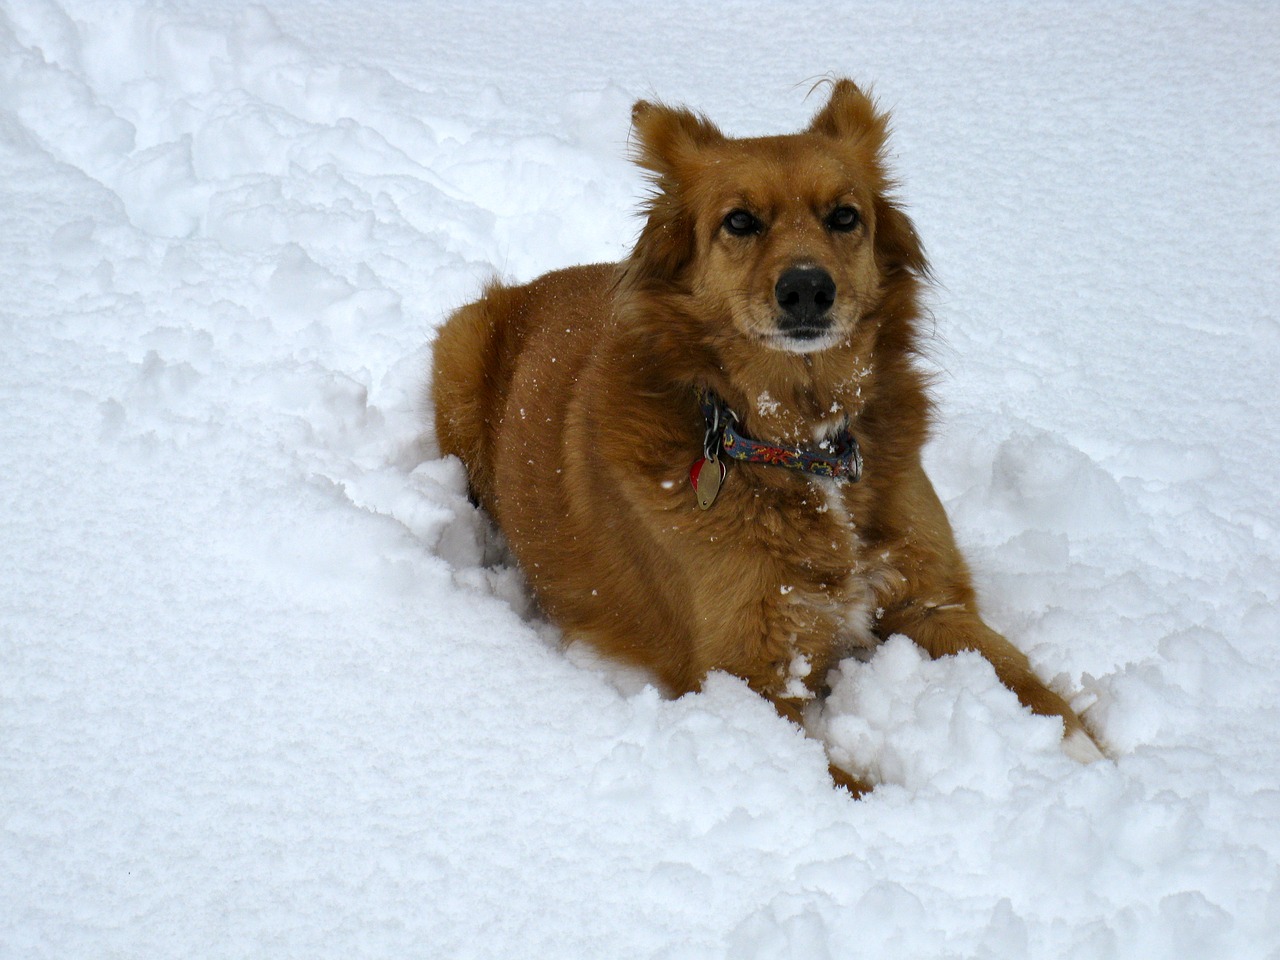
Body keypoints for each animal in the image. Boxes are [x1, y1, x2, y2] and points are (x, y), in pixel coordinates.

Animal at [430, 79, 1100, 793]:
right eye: (740, 222)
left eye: (844, 216)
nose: (806, 288)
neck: (799, 441)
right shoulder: (746, 683)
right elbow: (847, 785)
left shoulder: (932, 604)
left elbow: (1035, 689)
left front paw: (1092, 762)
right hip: (458, 349)